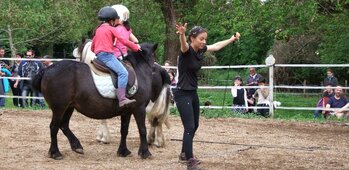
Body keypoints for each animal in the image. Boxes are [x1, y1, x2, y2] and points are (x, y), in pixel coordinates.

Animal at [30, 42, 163, 159]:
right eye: (154, 56)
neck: (138, 70)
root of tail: (47, 69)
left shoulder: (127, 111)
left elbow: (124, 130)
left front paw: (123, 151)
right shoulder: (139, 108)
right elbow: (142, 129)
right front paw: (145, 152)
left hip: (69, 107)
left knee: (64, 125)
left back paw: (76, 146)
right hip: (59, 108)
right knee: (54, 127)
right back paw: (55, 153)